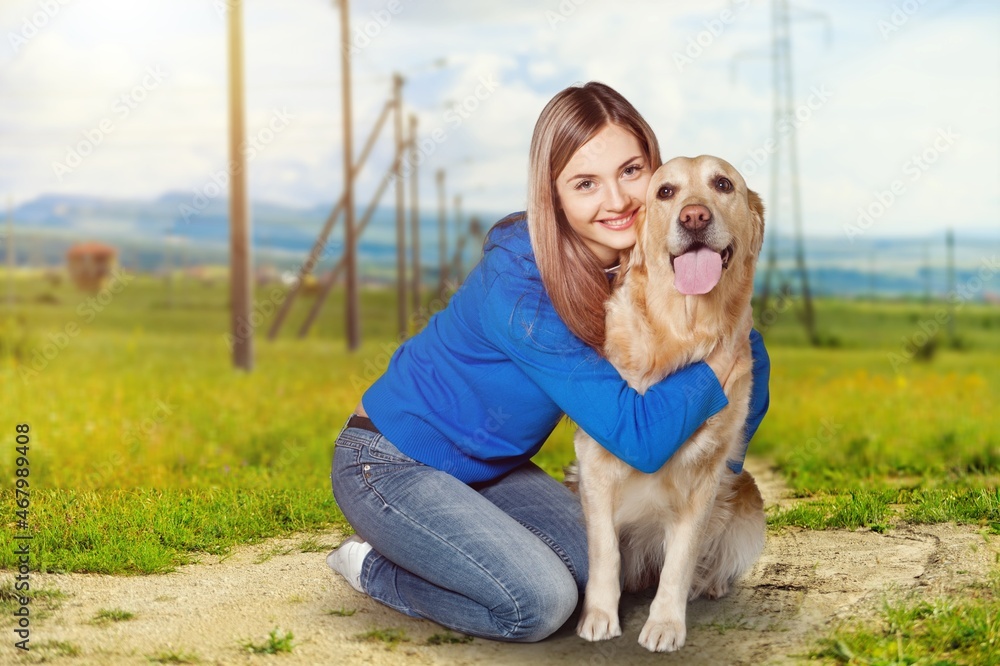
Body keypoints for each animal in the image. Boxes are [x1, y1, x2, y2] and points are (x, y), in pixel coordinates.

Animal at [572, 154, 764, 648]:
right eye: (665, 191)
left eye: (723, 184)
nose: (694, 217)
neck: (683, 328)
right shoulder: (595, 459)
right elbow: (604, 550)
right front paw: (599, 617)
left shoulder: (706, 472)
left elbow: (680, 559)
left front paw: (664, 625)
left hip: (748, 496)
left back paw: (709, 584)